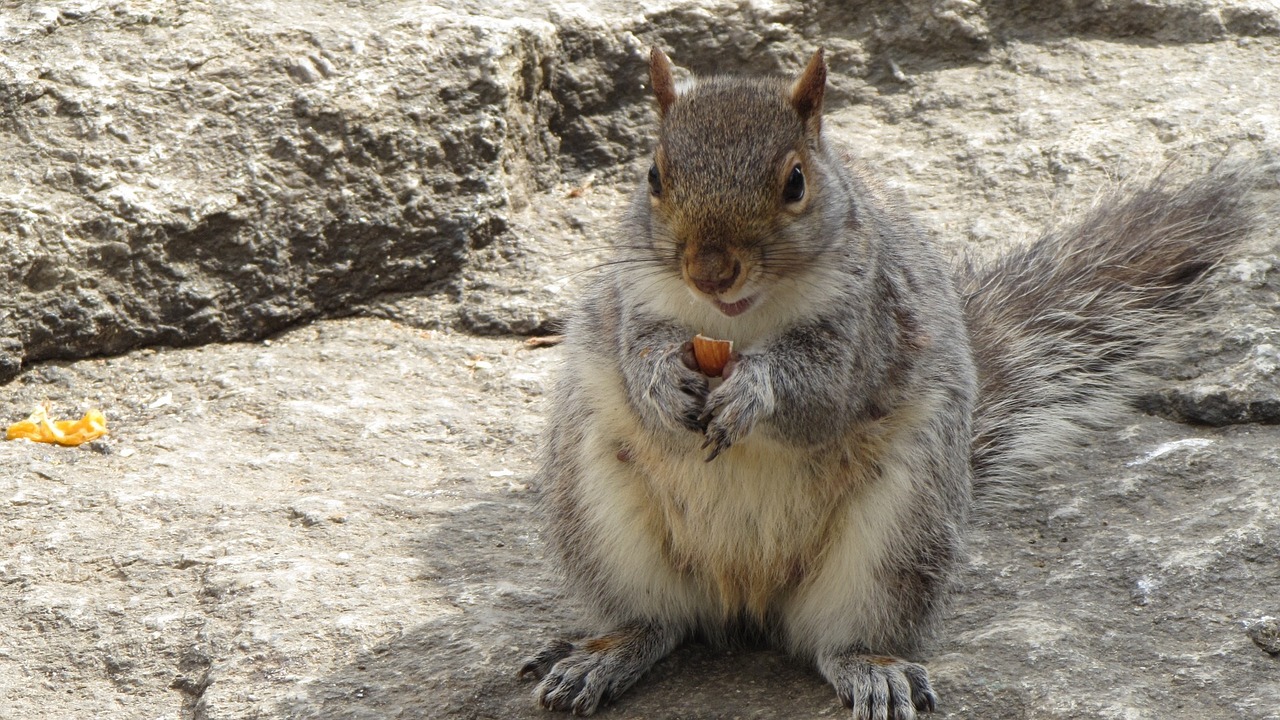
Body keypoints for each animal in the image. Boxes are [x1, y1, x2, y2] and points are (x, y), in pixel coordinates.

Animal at [514, 47, 1254, 712]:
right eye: (653, 176)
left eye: (795, 182)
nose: (710, 271)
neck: (736, 323)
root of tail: (745, 597)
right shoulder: (634, 304)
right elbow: (637, 352)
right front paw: (662, 383)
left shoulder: (867, 324)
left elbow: (818, 394)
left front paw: (754, 391)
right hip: (598, 514)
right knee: (657, 621)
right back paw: (605, 655)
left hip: (900, 534)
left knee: (838, 638)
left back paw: (872, 669)